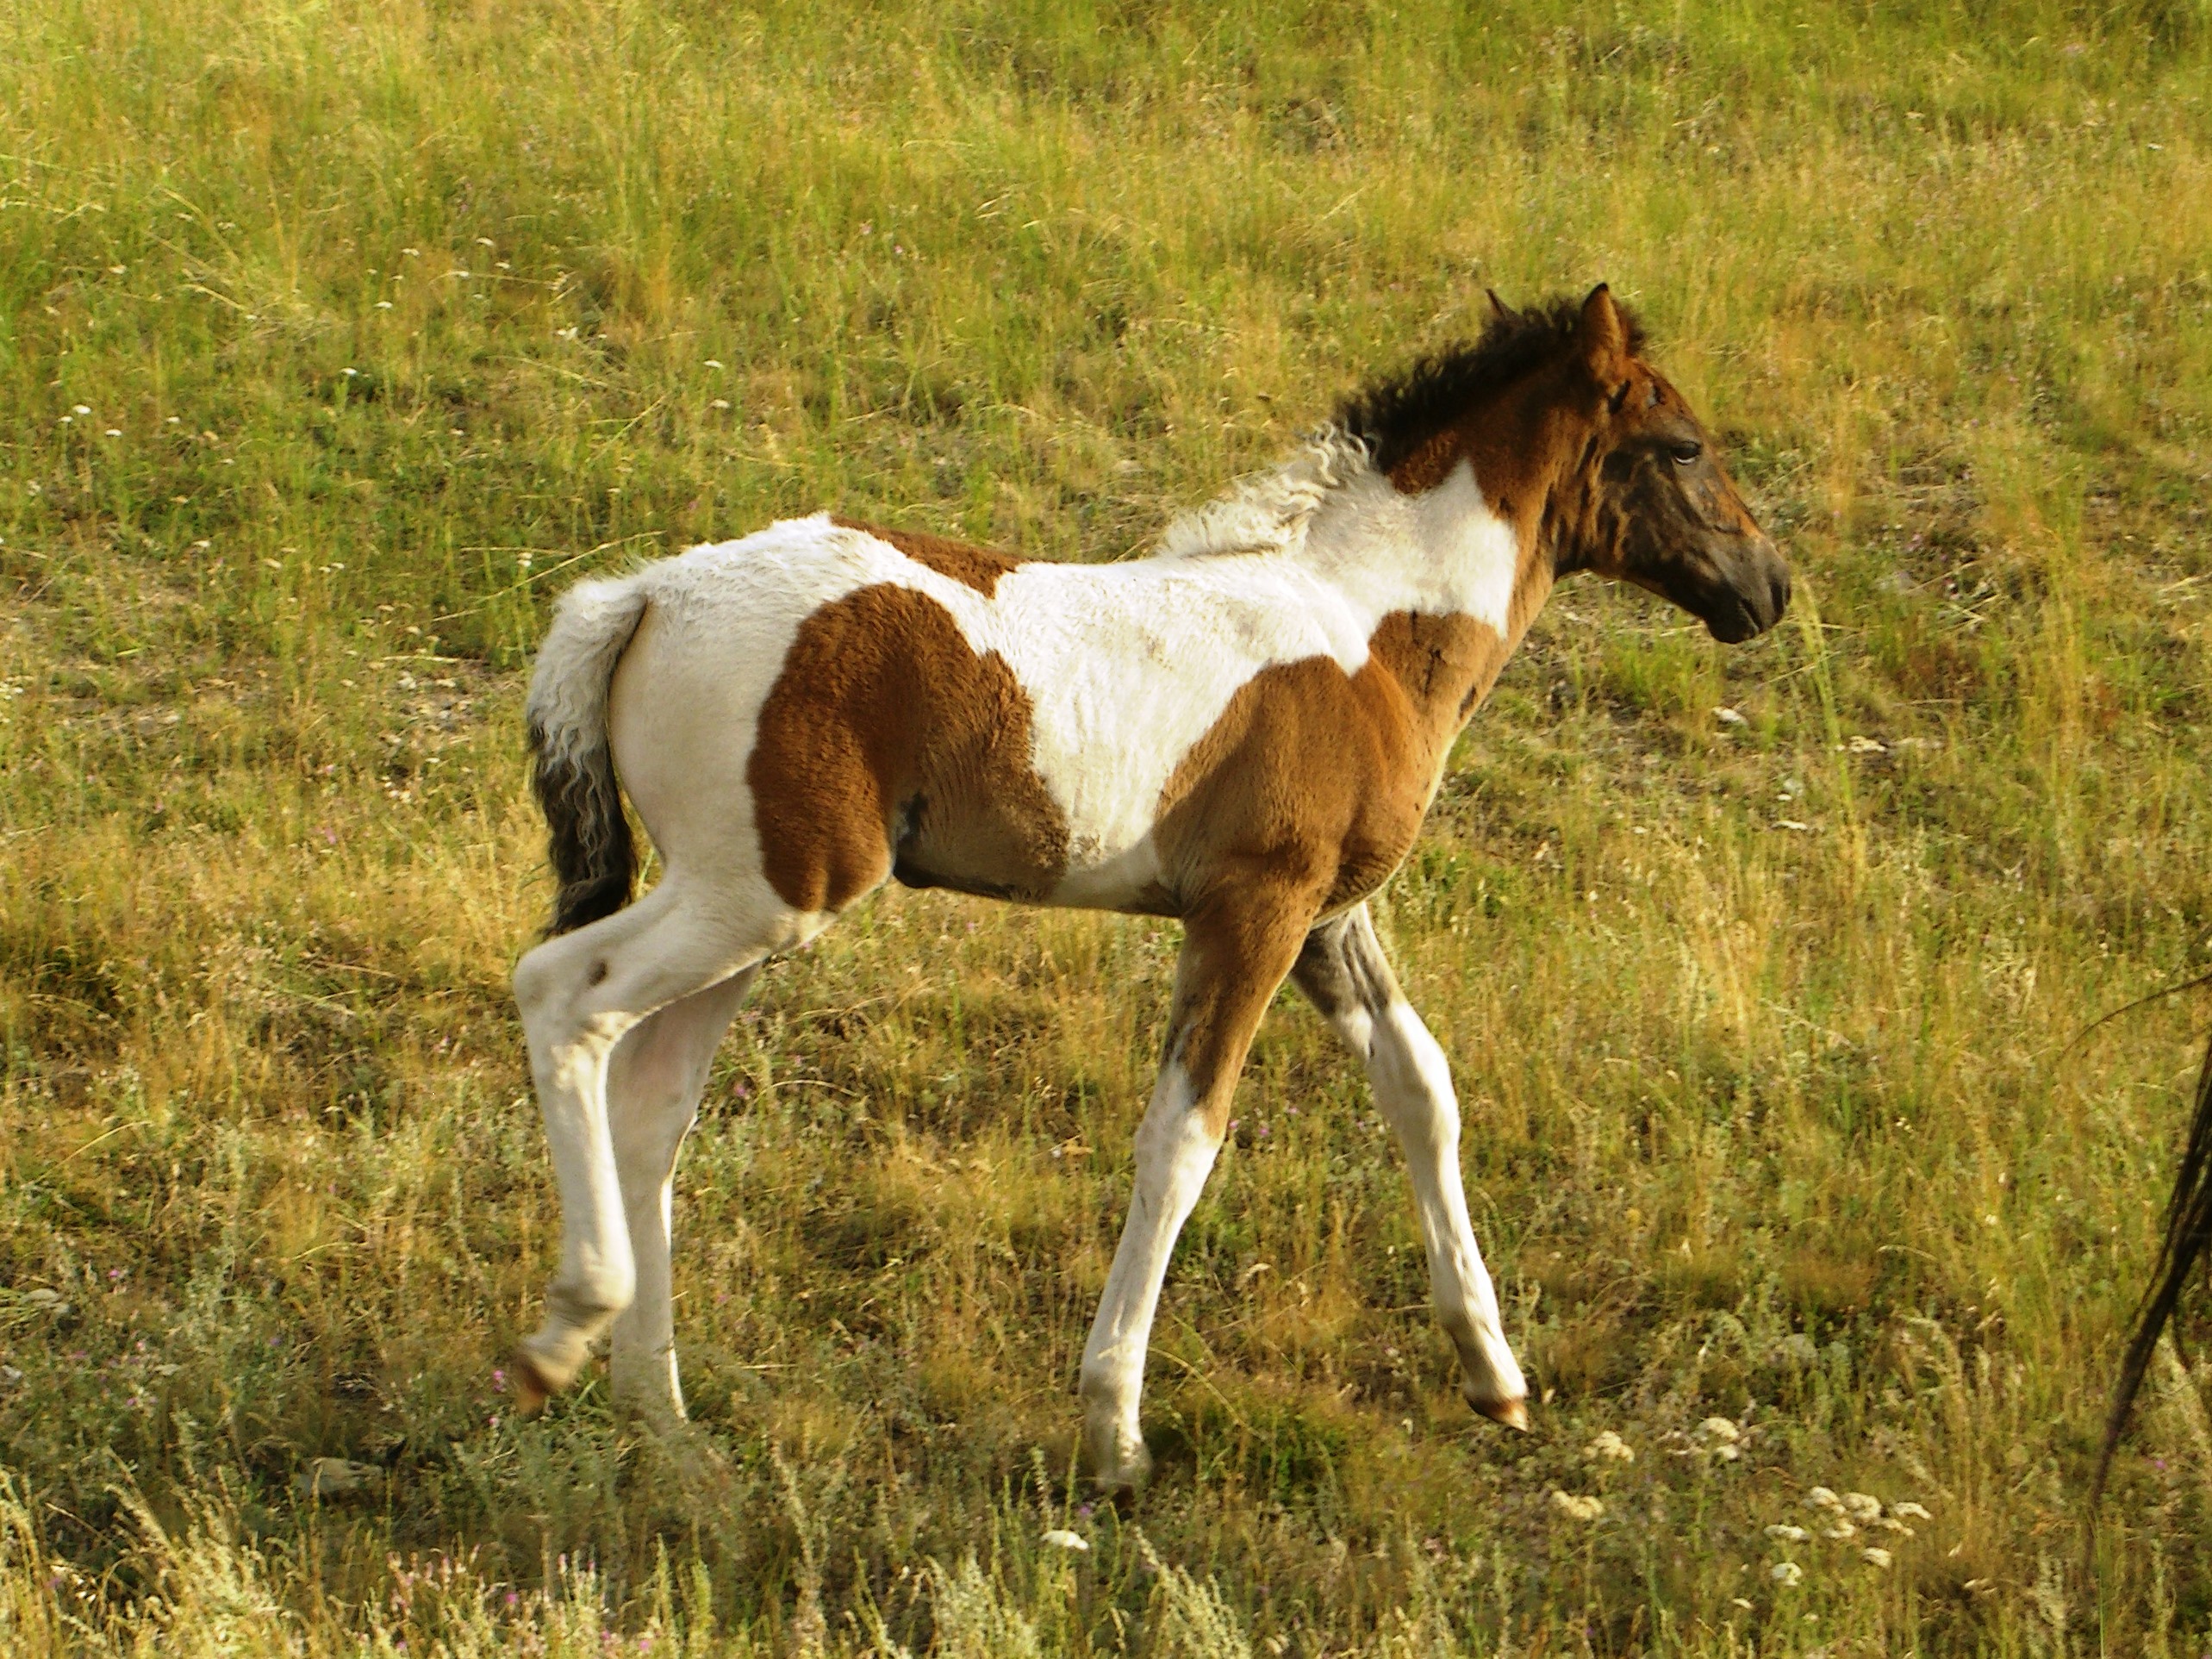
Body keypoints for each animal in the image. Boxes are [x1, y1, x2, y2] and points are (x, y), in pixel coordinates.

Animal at [508, 285, 1787, 1495]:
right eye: (1681, 445)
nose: (1765, 586)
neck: (1366, 629)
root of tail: (640, 596)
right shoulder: (1252, 911)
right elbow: (1183, 1139)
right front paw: (1113, 1429)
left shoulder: (1329, 917)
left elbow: (1420, 1089)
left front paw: (1495, 1374)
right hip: (763, 890)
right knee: (559, 992)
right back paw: (563, 1333)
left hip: (750, 908)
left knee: (652, 1103)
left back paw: (661, 1417)